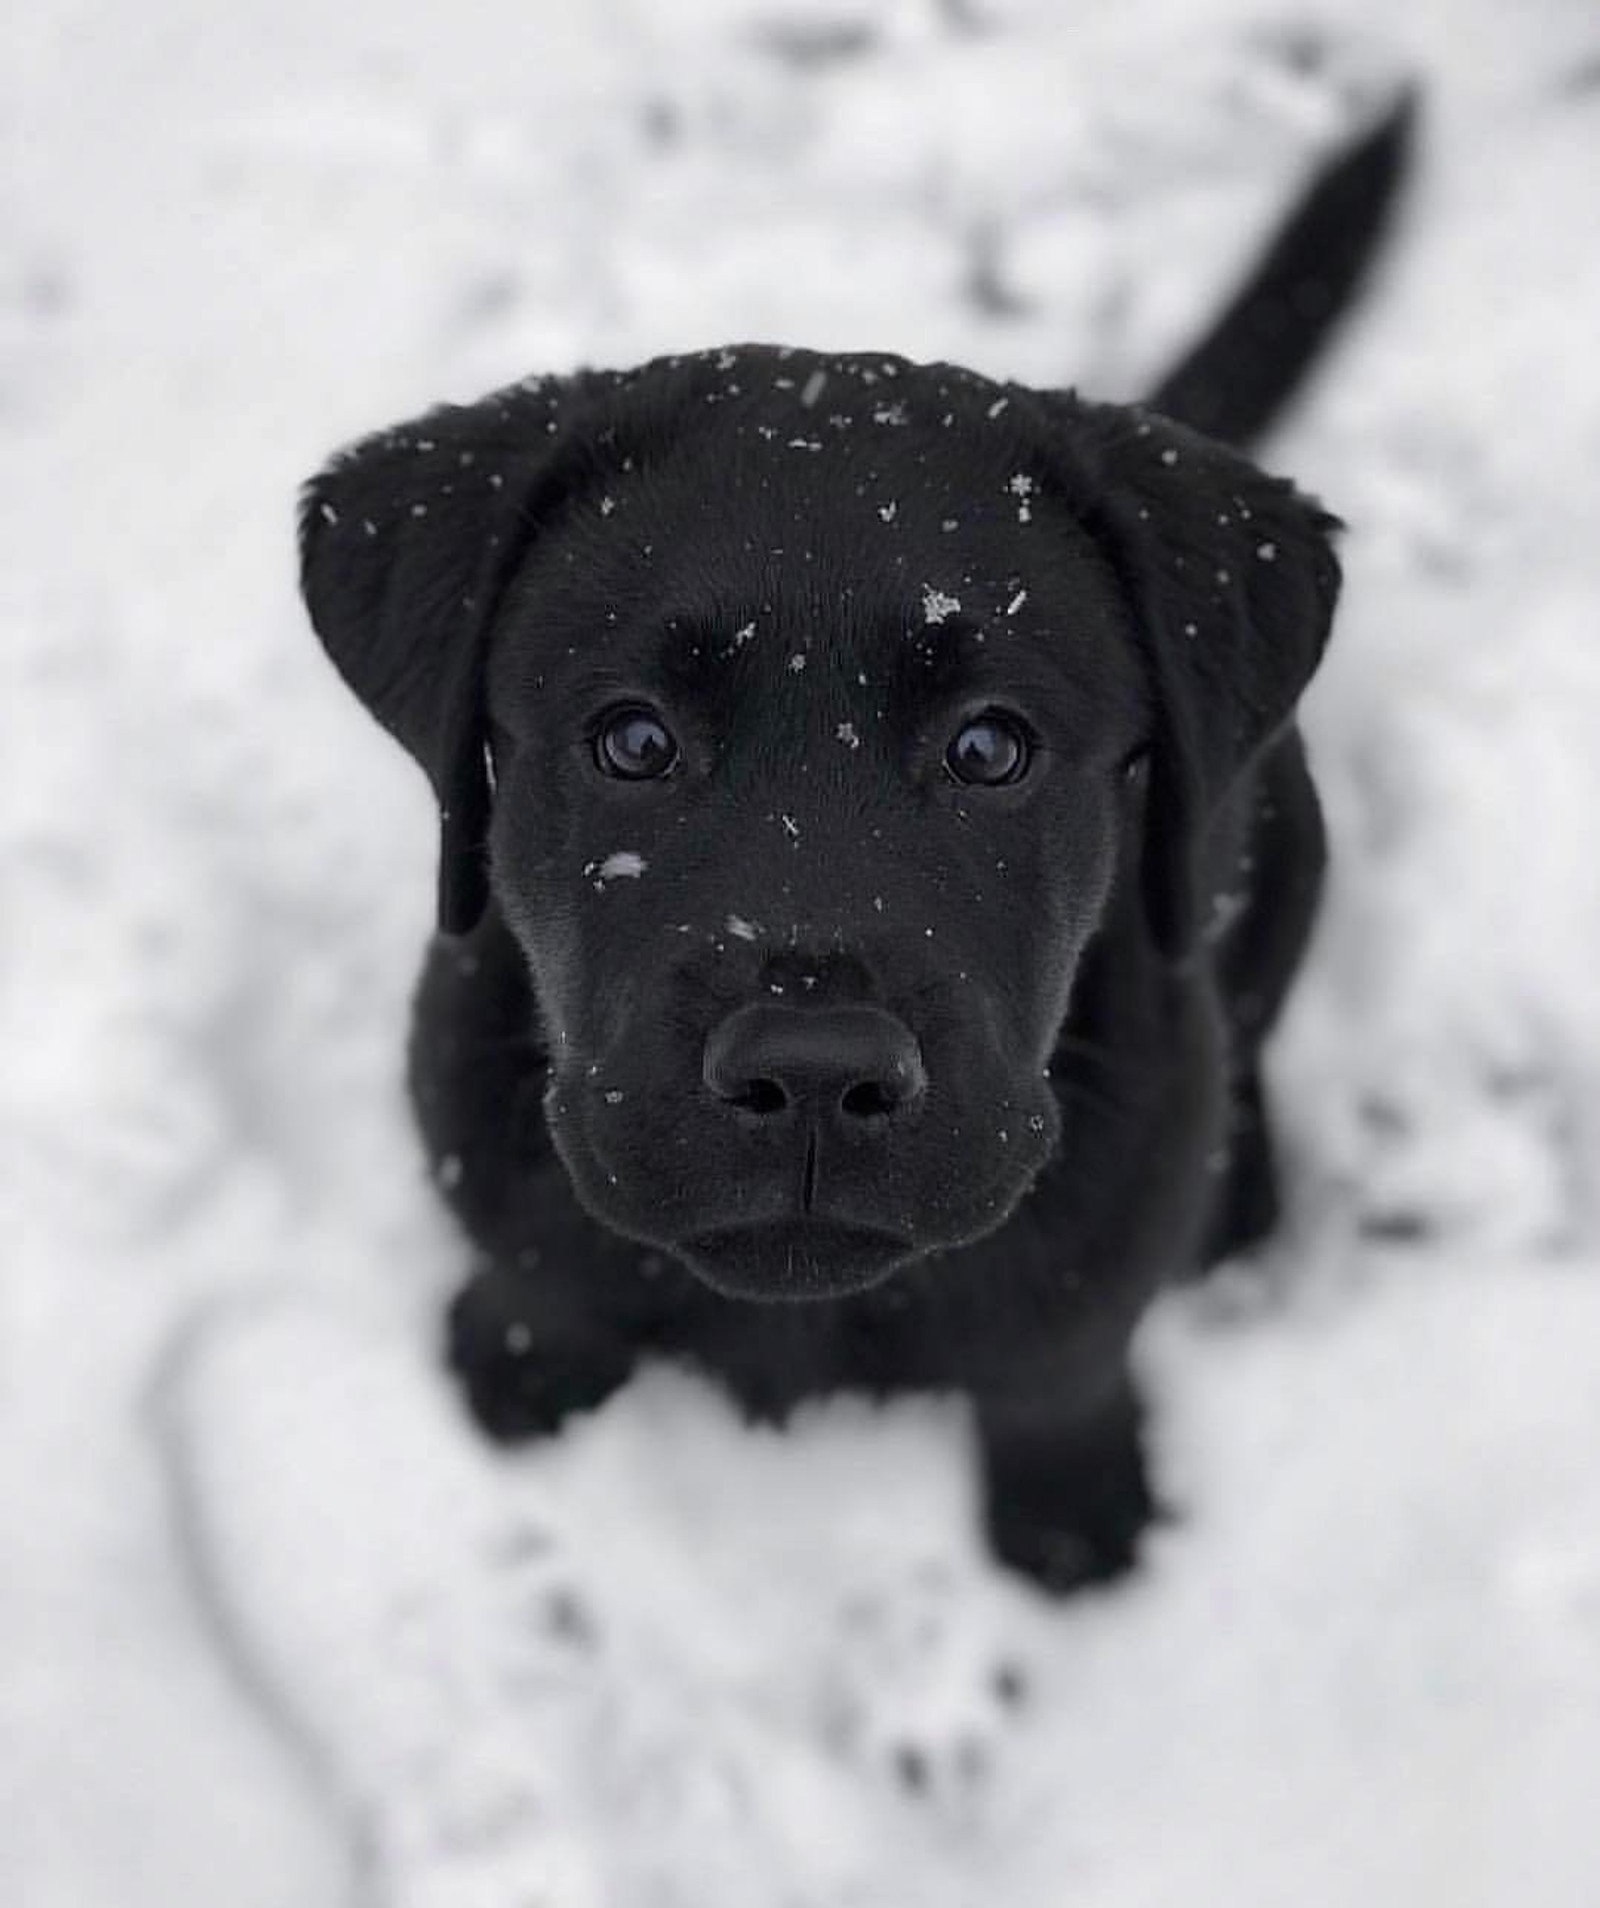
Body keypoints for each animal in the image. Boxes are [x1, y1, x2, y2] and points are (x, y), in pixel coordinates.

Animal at [301, 104, 1411, 1595]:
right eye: (633, 740)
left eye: (991, 749)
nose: (815, 1070)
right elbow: (544, 1276)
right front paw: (519, 1366)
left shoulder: (1105, 1220)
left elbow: (1061, 1361)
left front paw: (1072, 1513)